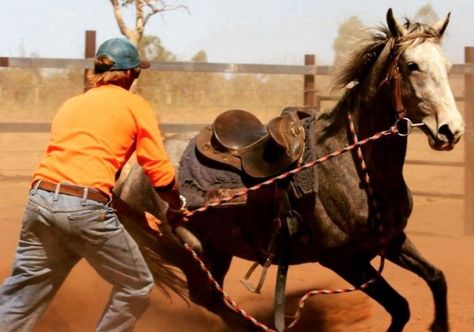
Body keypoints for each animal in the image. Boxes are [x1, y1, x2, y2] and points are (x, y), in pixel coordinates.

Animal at [114, 8, 462, 332]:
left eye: (447, 67)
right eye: (412, 66)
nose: (451, 130)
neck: (350, 162)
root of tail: (127, 180)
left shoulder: (391, 240)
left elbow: (437, 278)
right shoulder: (345, 260)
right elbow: (401, 307)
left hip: (217, 250)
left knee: (213, 299)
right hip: (191, 253)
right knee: (209, 299)